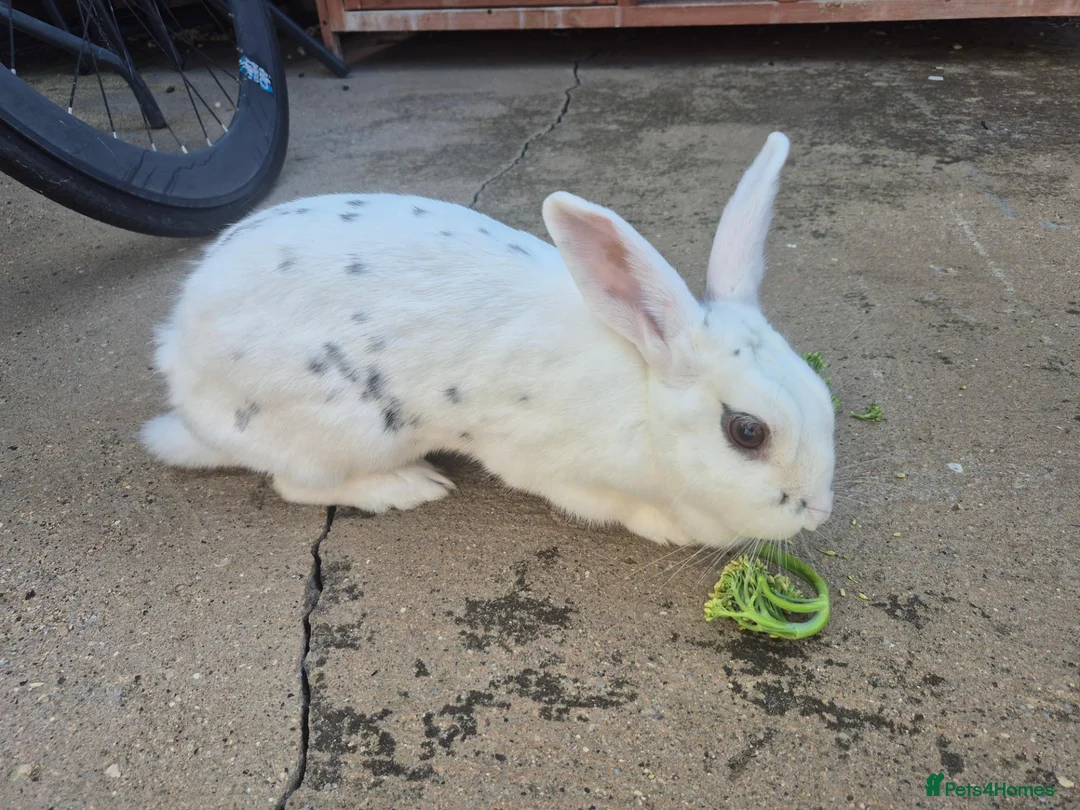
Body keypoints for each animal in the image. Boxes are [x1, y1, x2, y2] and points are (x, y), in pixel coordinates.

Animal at [142, 132, 835, 549]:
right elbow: (614, 507)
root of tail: (184, 381)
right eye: (747, 431)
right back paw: (409, 487)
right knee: (298, 484)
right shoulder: (549, 467)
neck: (643, 391)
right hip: (345, 431)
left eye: (824, 395)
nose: (819, 511)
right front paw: (671, 529)